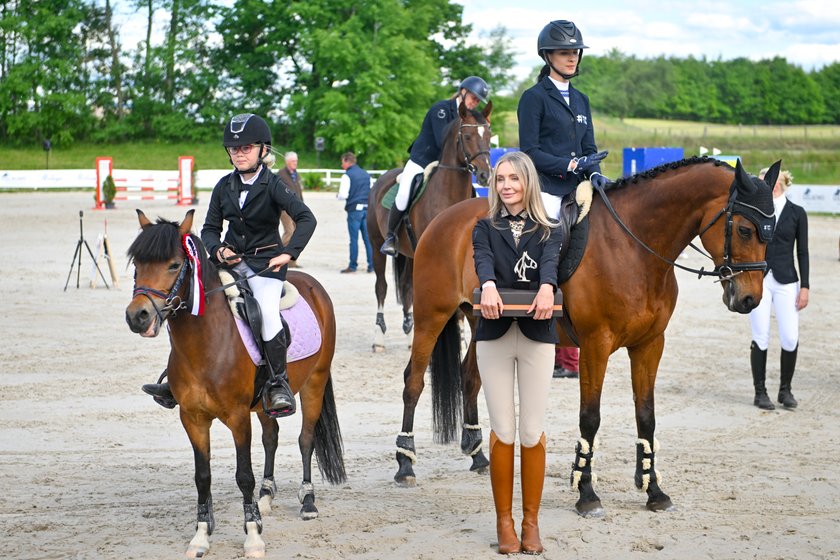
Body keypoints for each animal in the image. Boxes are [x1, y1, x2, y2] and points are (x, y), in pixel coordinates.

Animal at [125, 209, 348, 556]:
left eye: (174, 265)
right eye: (137, 264)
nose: (138, 316)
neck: (205, 343)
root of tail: (312, 284)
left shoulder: (238, 417)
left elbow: (244, 475)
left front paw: (253, 536)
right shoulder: (192, 418)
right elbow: (202, 476)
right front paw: (201, 536)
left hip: (316, 381)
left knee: (305, 440)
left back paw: (308, 501)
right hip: (265, 403)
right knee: (272, 436)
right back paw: (267, 497)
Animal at [366, 97, 492, 350]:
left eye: (489, 135)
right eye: (467, 136)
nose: (485, 175)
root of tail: (381, 179)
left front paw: (462, 339)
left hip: (410, 254)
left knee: (406, 288)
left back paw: (409, 332)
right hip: (376, 246)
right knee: (381, 288)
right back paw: (379, 338)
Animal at [390, 158, 776, 516]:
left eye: (771, 232)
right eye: (744, 229)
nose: (749, 299)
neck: (634, 247)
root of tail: (445, 218)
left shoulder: (650, 345)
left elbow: (646, 414)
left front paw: (653, 490)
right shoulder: (595, 344)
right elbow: (590, 416)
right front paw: (586, 492)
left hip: (484, 321)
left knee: (470, 377)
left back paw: (478, 455)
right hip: (431, 316)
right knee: (413, 382)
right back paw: (405, 463)